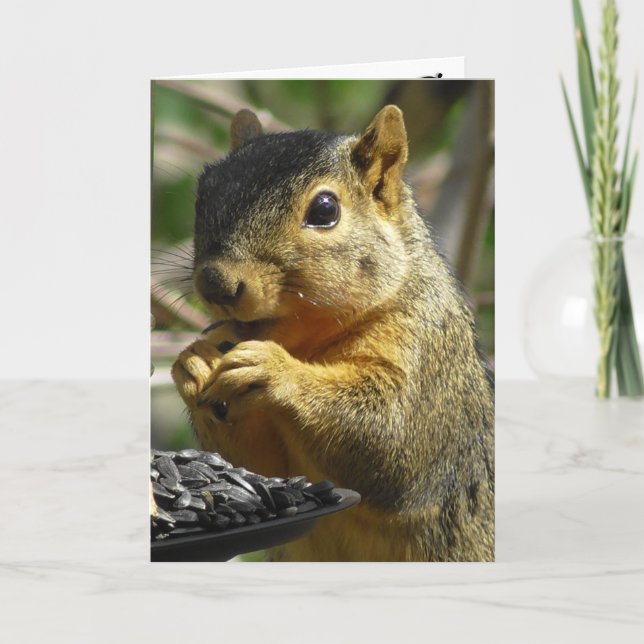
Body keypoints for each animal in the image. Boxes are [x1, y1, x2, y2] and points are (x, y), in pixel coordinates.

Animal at [171, 105, 495, 561]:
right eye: (204, 192)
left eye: (325, 210)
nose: (216, 284)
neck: (310, 344)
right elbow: (262, 472)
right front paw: (194, 363)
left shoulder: (430, 362)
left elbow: (392, 441)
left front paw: (273, 370)